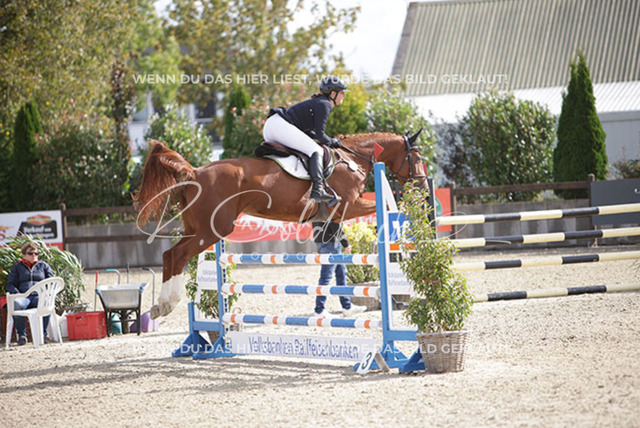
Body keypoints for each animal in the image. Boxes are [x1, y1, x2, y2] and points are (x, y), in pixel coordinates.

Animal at [134, 130, 428, 318]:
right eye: (417, 158)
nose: (424, 186)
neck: (355, 159)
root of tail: (194, 172)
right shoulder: (349, 206)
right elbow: (387, 208)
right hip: (211, 230)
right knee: (178, 255)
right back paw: (168, 303)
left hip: (198, 229)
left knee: (170, 255)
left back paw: (161, 306)